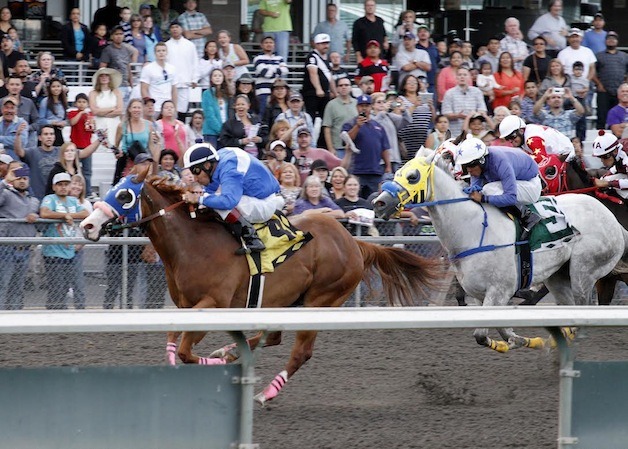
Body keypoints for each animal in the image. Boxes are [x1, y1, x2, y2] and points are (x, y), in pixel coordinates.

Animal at [82, 173, 446, 404]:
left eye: (124, 195)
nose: (87, 225)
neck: (193, 244)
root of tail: (353, 242)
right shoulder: (185, 307)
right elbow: (174, 344)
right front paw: (213, 357)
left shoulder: (213, 305)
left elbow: (186, 352)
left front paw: (221, 367)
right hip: (287, 300)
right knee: (274, 337)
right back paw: (229, 351)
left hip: (321, 300)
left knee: (299, 352)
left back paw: (263, 393)